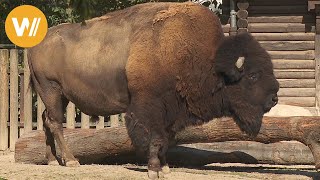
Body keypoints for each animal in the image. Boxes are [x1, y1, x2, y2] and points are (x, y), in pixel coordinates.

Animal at [28, 1, 278, 180]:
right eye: (253, 76)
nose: (273, 99)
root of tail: (37, 44)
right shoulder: (150, 107)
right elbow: (155, 137)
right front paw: (154, 169)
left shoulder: (172, 112)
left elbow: (166, 139)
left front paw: (165, 168)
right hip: (50, 89)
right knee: (55, 122)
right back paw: (71, 161)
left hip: (59, 95)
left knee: (47, 120)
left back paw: (52, 160)